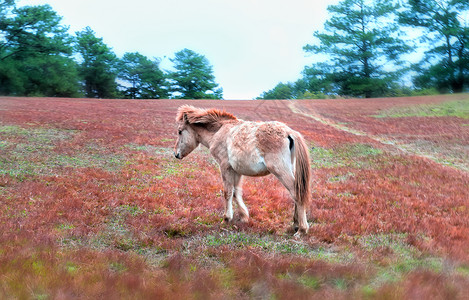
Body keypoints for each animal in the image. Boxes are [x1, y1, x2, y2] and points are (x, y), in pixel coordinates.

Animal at [174, 106, 308, 237]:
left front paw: (226, 219)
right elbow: (236, 192)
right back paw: (296, 225)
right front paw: (244, 217)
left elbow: (227, 192)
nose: (176, 154)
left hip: (281, 171)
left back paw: (301, 229)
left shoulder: (225, 167)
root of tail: (289, 133)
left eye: (180, 131)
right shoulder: (236, 171)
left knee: (296, 193)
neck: (219, 131)